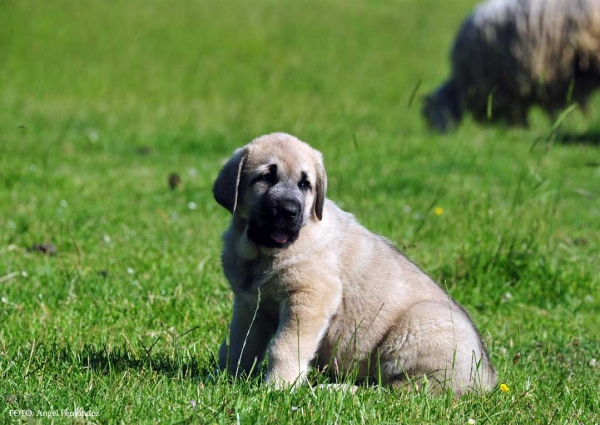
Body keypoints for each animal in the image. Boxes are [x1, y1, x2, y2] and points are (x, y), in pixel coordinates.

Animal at [213, 132, 494, 394]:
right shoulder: (250, 304)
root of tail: (487, 381)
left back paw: (334, 390)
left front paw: (278, 387)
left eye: (305, 184)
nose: (290, 211)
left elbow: (284, 347)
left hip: (419, 327)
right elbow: (239, 344)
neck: (261, 253)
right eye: (265, 178)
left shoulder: (309, 298)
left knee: (394, 391)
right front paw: (224, 378)